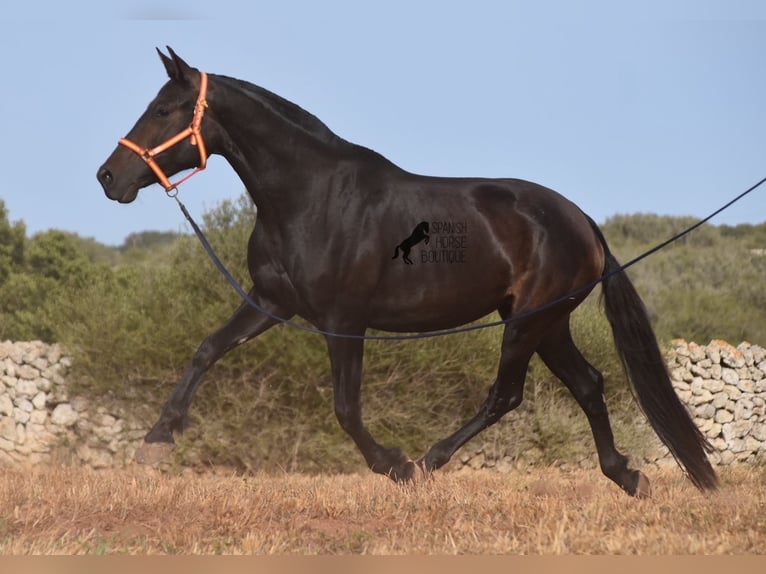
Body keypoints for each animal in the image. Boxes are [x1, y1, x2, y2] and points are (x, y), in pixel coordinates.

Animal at [97, 48, 720, 500]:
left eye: (163, 110)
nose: (108, 177)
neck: (311, 197)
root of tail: (584, 222)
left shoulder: (343, 320)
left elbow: (346, 408)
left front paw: (393, 465)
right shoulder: (272, 302)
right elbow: (206, 350)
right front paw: (155, 442)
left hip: (528, 323)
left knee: (506, 395)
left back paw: (428, 461)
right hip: (546, 323)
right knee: (588, 384)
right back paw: (627, 476)